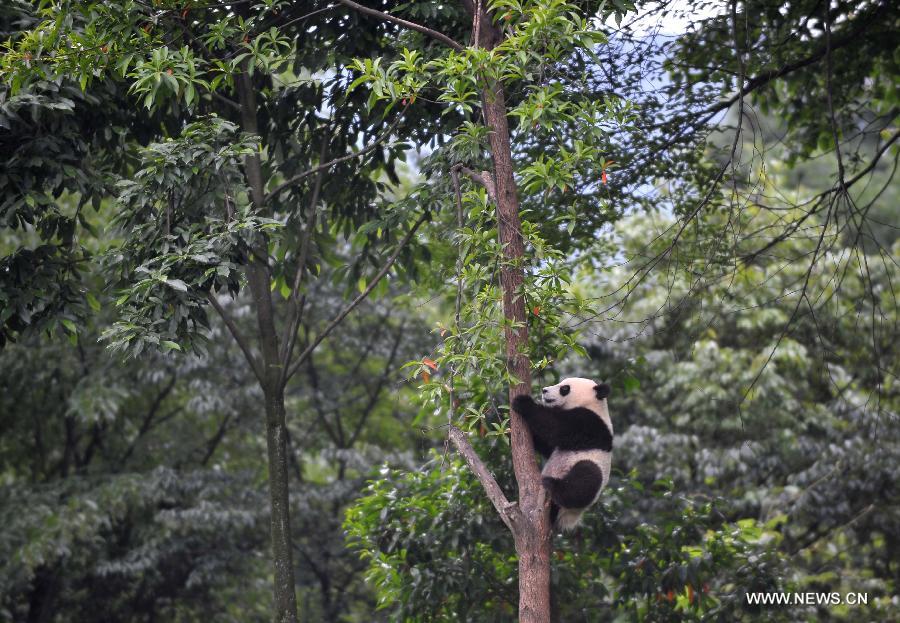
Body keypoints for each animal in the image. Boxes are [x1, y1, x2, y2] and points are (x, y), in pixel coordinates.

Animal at [512, 377, 613, 531]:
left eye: (564, 388)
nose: (544, 390)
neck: (594, 405)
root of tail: (566, 519)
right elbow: (549, 445)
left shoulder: (591, 424)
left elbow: (557, 428)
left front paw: (523, 403)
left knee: (585, 480)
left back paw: (552, 485)